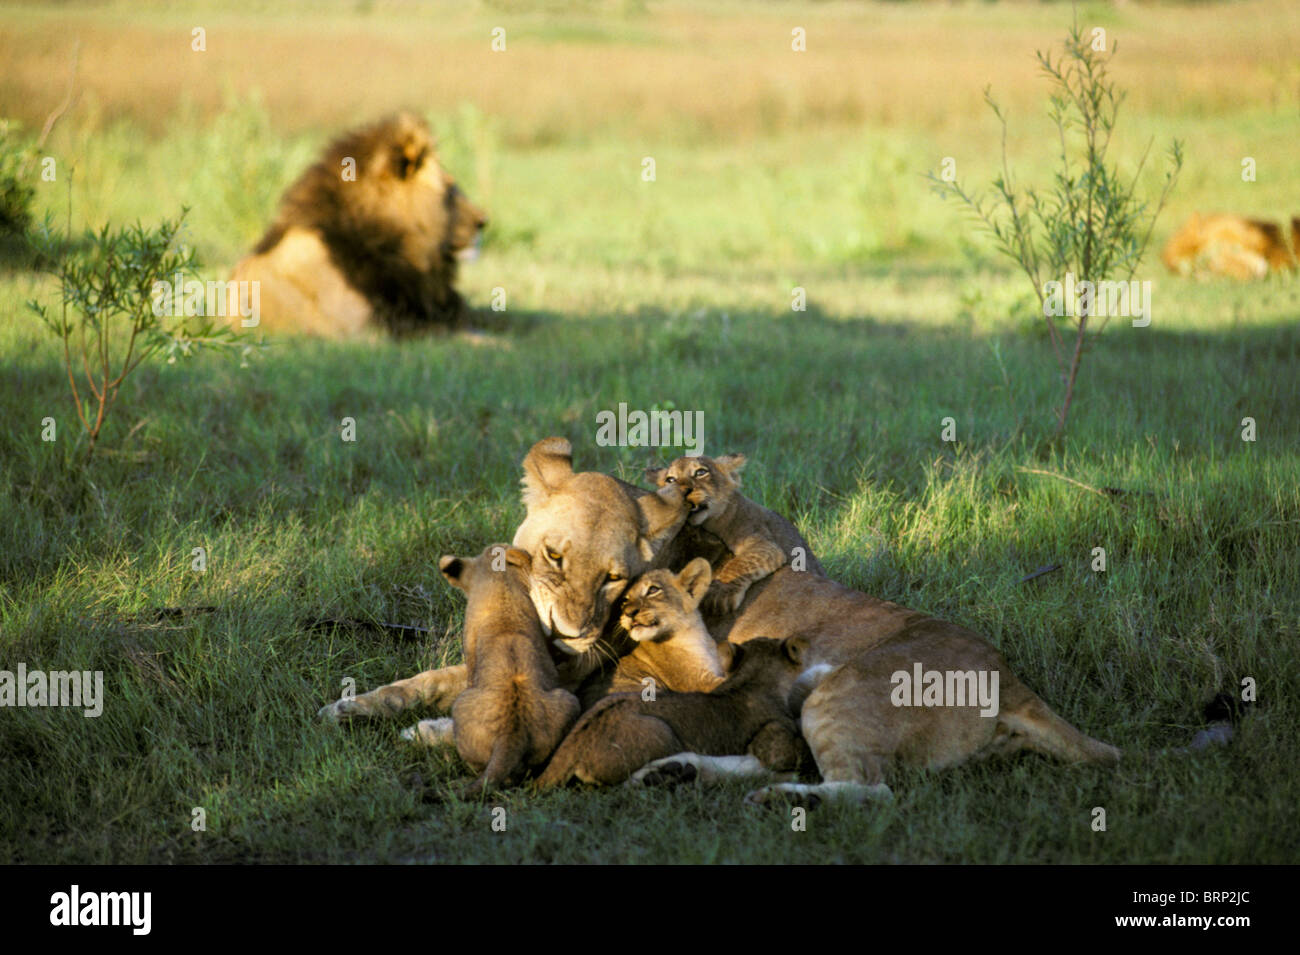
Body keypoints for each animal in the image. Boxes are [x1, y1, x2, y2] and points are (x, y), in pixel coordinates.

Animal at [645, 452, 824, 615]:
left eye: (701, 472)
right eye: (670, 480)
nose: (683, 491)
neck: (710, 523)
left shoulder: (764, 543)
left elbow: (739, 563)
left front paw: (719, 595)